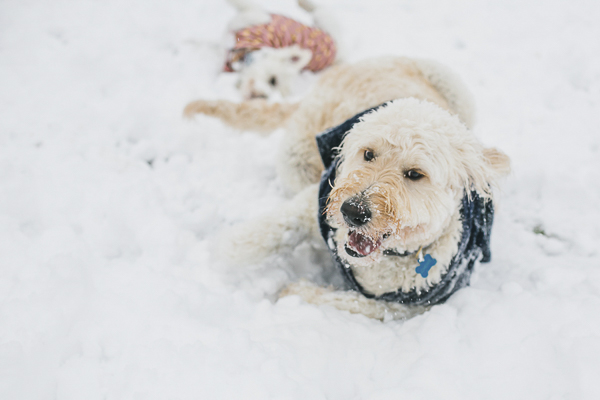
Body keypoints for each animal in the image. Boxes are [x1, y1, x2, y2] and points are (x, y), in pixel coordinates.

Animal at [185, 56, 508, 320]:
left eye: (415, 174)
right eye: (368, 153)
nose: (353, 211)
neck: (388, 259)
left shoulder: (413, 305)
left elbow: (357, 303)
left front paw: (298, 291)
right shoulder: (319, 197)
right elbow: (254, 238)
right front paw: (221, 255)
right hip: (296, 158)